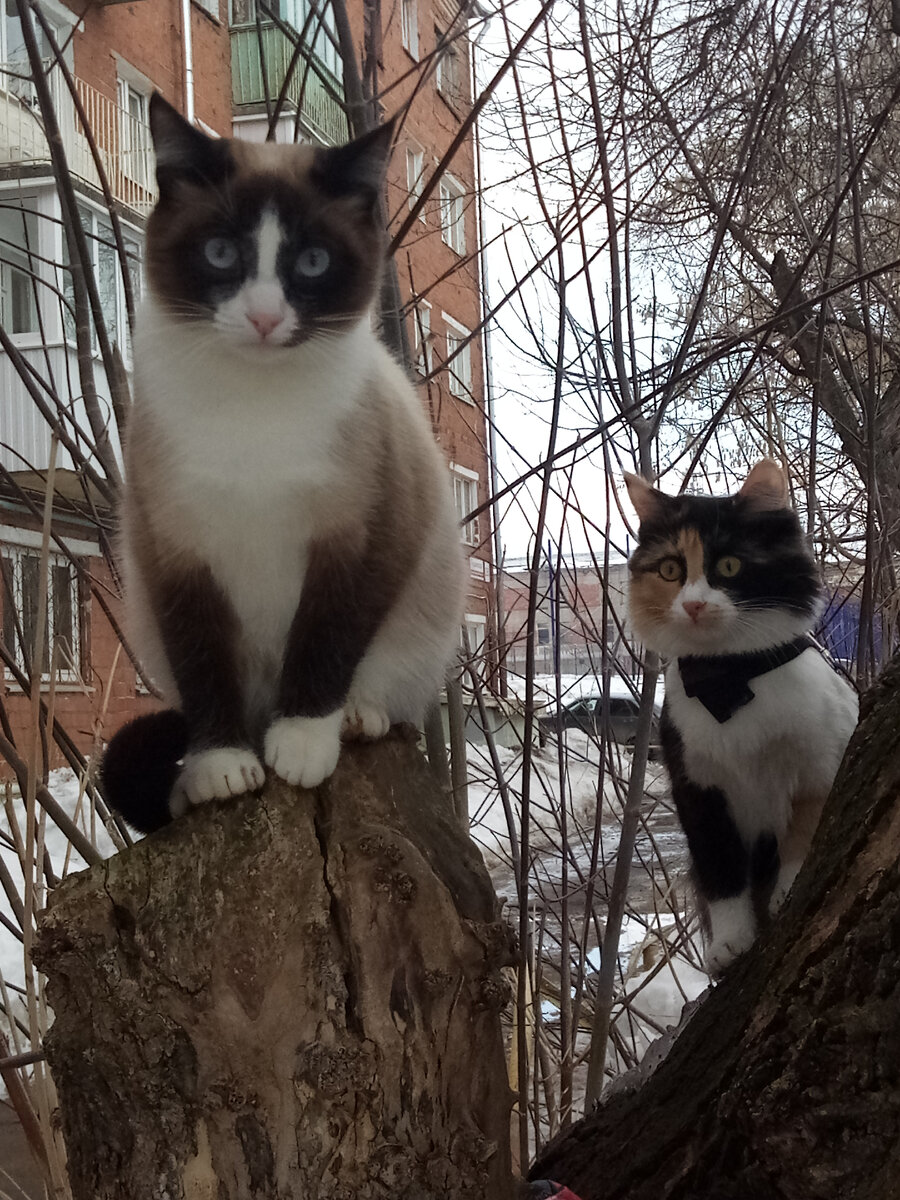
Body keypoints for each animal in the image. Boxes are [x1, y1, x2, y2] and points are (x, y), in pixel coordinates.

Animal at [100, 93, 465, 830]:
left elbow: (324, 641)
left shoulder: (357, 539)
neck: (256, 406)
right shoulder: (176, 553)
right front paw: (223, 767)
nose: (266, 319)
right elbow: (204, 664)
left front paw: (299, 746)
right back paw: (203, 781)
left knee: (386, 696)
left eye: (313, 263)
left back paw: (353, 721)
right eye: (220, 253)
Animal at [628, 458, 859, 974]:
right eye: (671, 569)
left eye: (729, 566)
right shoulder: (698, 790)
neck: (729, 677)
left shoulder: (822, 764)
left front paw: (788, 888)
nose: (694, 604)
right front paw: (730, 942)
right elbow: (722, 872)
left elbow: (805, 828)